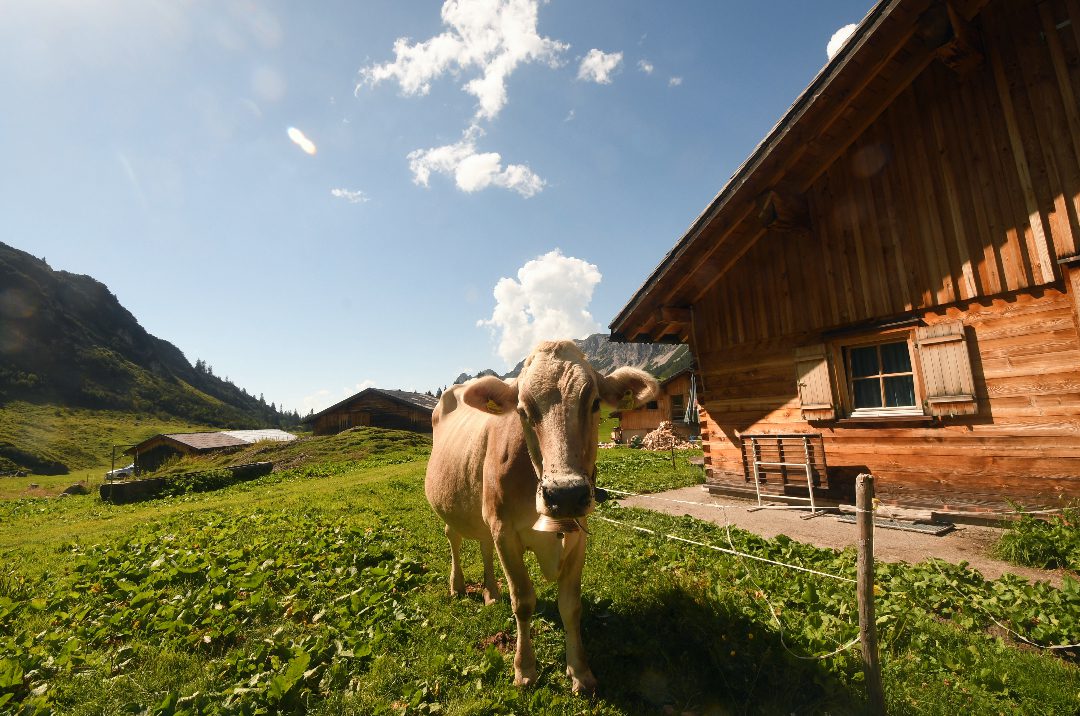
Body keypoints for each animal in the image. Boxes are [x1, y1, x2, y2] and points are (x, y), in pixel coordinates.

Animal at [425, 340, 659, 694]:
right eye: (523, 410)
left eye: (594, 403)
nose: (565, 494)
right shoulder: (505, 532)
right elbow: (523, 601)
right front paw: (525, 670)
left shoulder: (577, 534)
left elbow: (571, 605)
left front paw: (580, 672)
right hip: (453, 507)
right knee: (453, 538)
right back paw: (458, 585)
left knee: (483, 545)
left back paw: (491, 592)